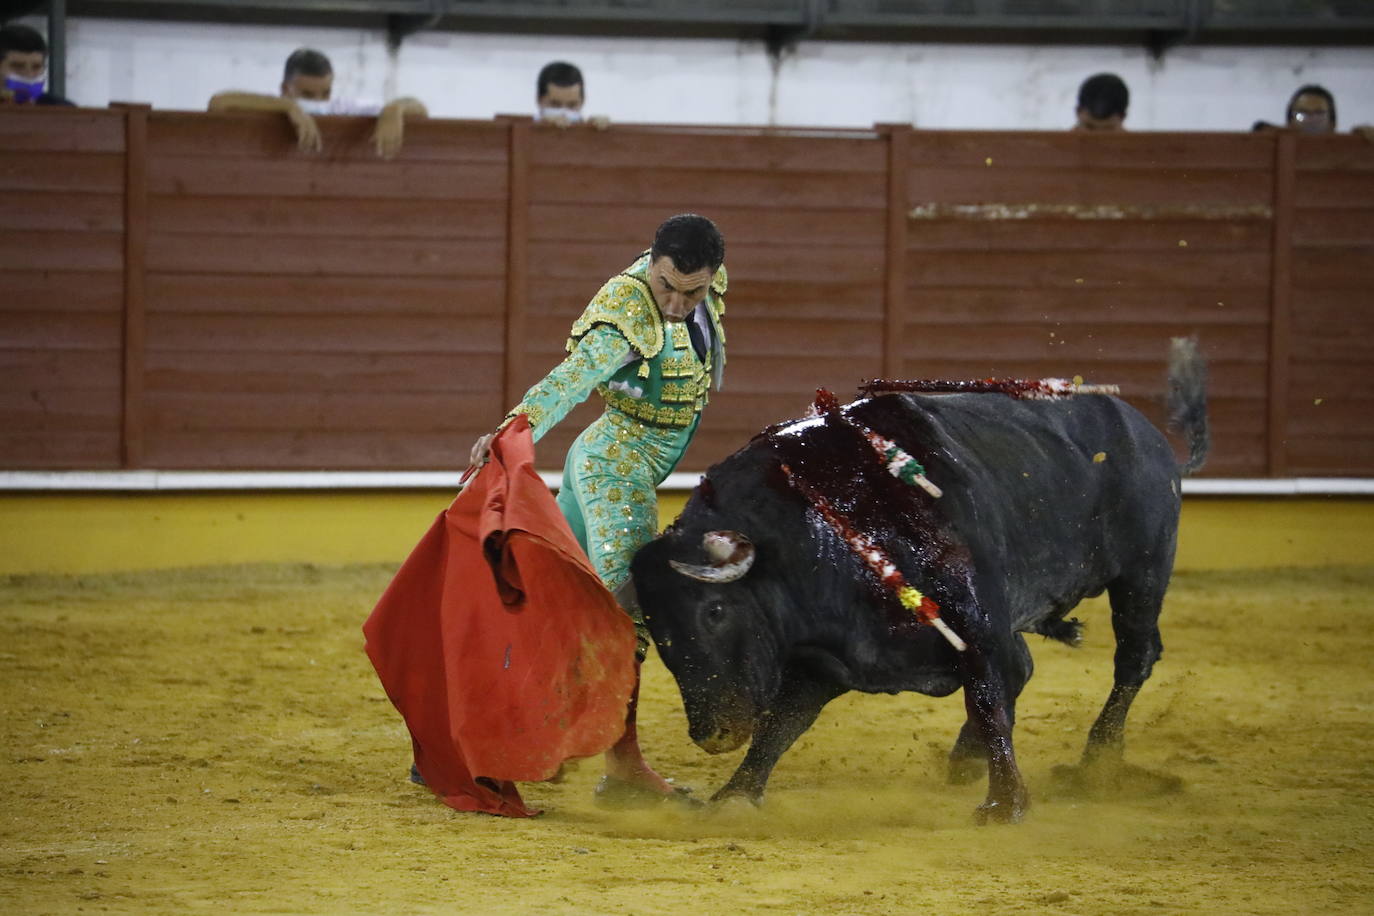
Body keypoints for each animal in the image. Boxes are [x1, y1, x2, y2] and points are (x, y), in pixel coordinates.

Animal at [629, 339, 1209, 823]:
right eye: (656, 629)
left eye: (714, 610)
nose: (712, 735)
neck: (833, 521)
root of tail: (1148, 435)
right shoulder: (825, 660)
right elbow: (781, 725)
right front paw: (734, 796)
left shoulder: (977, 625)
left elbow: (987, 701)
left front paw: (1005, 804)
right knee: (1027, 665)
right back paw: (966, 760)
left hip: (1143, 572)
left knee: (1133, 657)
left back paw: (1095, 762)